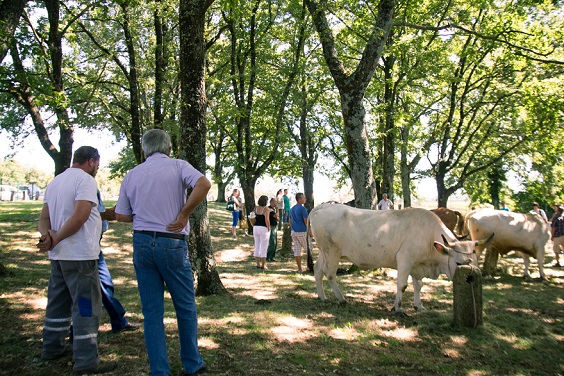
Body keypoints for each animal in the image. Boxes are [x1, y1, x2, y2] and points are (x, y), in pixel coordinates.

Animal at [308, 204, 494, 316]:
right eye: (458, 263)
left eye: (475, 262)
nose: (471, 278)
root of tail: (322, 206)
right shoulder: (405, 259)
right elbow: (402, 285)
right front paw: (397, 308)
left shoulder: (417, 264)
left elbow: (418, 285)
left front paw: (418, 305)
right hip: (332, 252)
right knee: (330, 274)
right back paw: (340, 298)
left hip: (324, 252)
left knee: (318, 270)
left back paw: (322, 296)